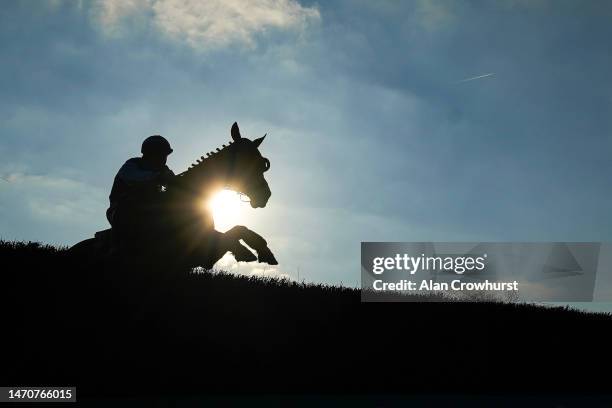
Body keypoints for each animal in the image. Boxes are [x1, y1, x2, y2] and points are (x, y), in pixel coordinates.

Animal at [68, 122, 276, 270]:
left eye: (261, 163)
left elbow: (240, 228)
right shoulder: (196, 253)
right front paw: (246, 252)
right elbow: (233, 234)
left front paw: (264, 251)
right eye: (243, 162)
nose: (265, 195)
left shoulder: (202, 256)